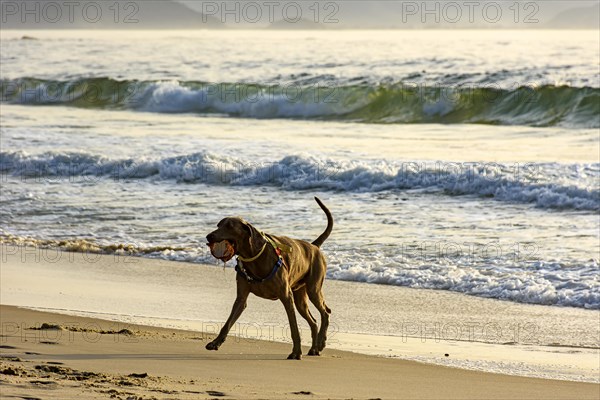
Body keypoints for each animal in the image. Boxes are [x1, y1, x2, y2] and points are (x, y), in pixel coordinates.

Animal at [206, 197, 332, 360]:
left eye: (229, 226)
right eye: (218, 225)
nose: (209, 236)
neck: (253, 256)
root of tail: (313, 246)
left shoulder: (286, 296)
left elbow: (294, 328)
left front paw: (296, 352)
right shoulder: (241, 298)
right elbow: (228, 322)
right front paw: (215, 343)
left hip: (313, 288)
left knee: (325, 312)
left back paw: (321, 342)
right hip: (300, 297)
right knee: (313, 321)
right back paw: (314, 348)